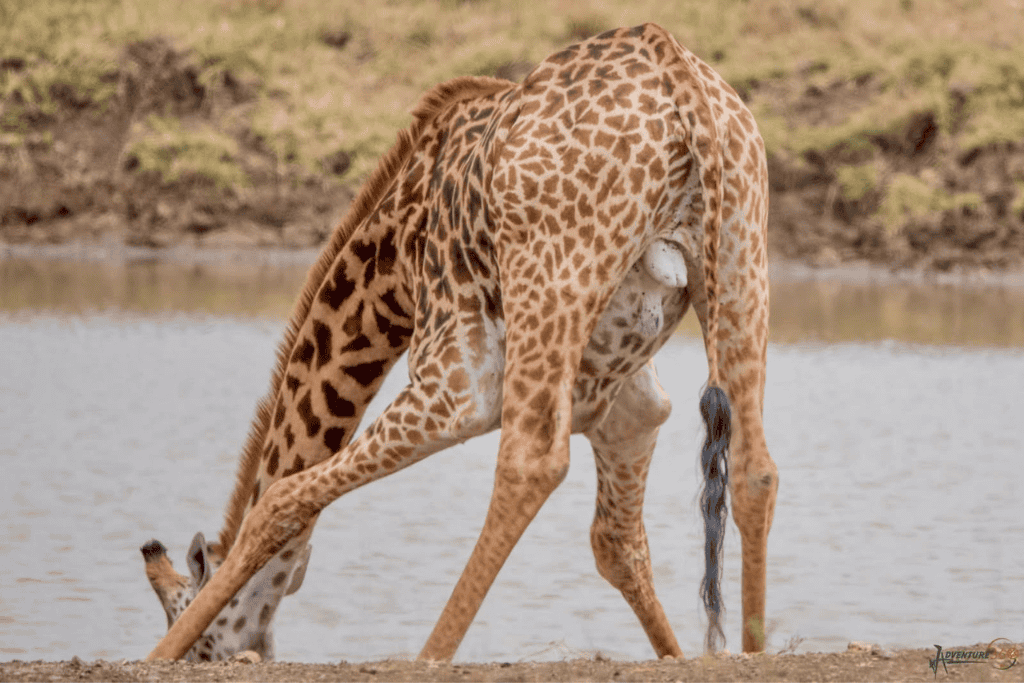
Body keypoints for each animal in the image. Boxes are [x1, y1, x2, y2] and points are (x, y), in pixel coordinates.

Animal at [142, 23, 776, 662]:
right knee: (755, 470)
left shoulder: (455, 385)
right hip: (740, 261)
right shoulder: (631, 409)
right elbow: (617, 544)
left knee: (529, 463)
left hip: (550, 284)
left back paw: (427, 656)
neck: (392, 268)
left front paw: (157, 656)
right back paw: (754, 649)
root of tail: (674, 67)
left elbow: (279, 499)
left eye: (189, 627)